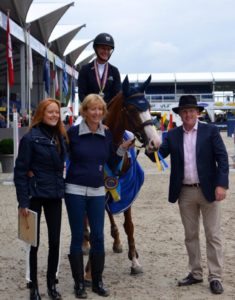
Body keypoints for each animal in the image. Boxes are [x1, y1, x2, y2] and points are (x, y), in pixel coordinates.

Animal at [83, 74, 162, 278]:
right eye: (132, 109)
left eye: (149, 107)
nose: (155, 142)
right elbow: (94, 226)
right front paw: (89, 271)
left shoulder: (125, 189)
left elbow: (129, 226)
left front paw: (134, 260)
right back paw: (85, 244)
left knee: (109, 211)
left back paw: (117, 241)